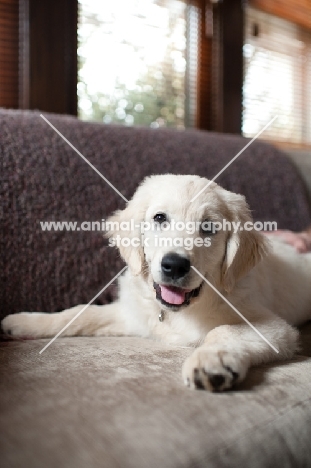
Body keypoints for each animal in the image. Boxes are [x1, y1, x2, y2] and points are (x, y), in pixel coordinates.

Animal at [2, 176, 311, 392]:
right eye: (160, 218)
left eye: (209, 227)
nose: (174, 265)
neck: (179, 312)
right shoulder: (134, 315)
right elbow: (80, 313)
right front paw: (25, 322)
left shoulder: (271, 325)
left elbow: (223, 331)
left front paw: (210, 361)